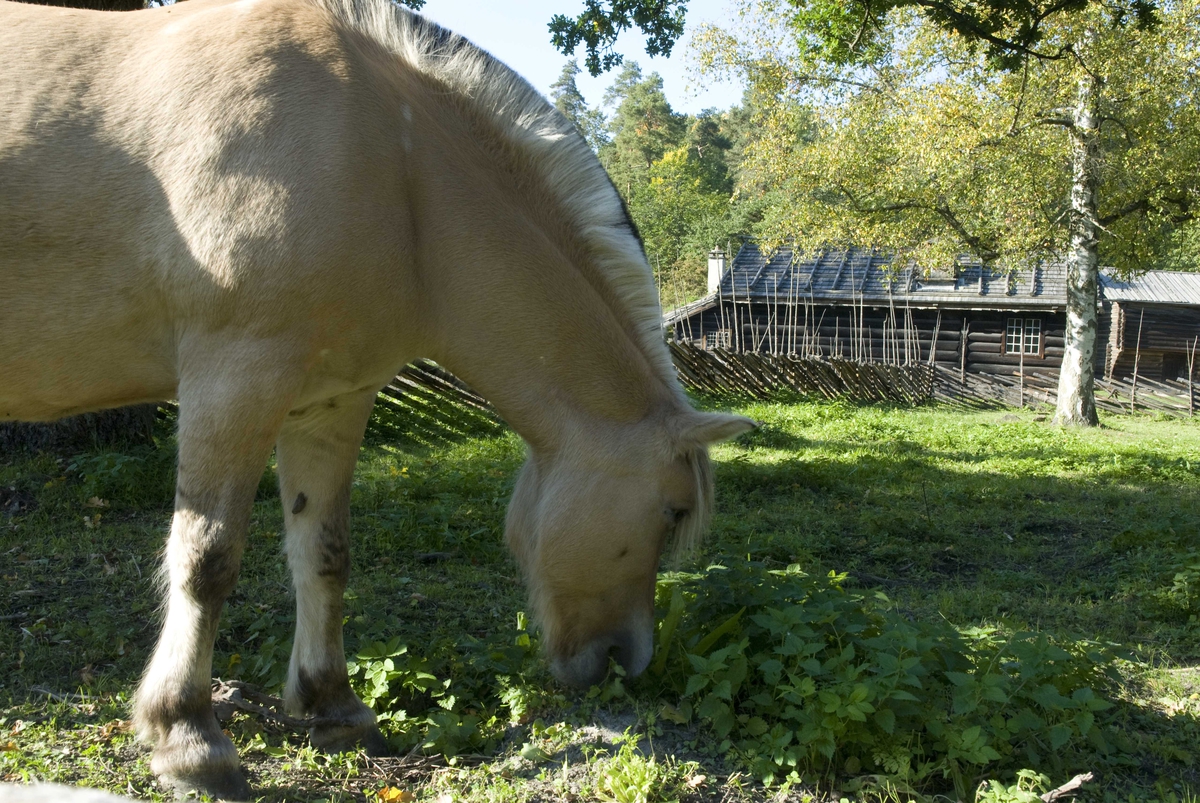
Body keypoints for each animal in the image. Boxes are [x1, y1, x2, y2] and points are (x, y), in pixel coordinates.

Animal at [0, 0, 753, 796]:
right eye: (673, 512)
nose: (625, 661)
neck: (390, 162)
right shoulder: (232, 379)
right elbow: (206, 560)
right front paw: (190, 739)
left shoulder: (330, 402)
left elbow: (324, 552)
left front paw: (333, 706)